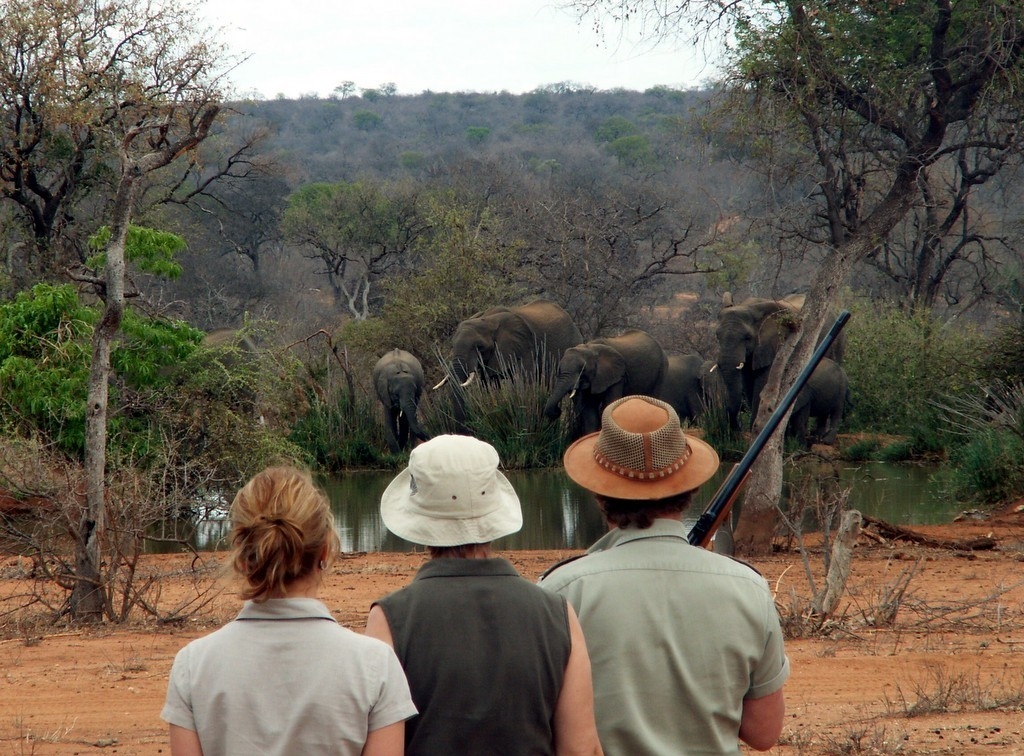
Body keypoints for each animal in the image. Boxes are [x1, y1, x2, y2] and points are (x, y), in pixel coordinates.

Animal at [712, 290, 847, 426]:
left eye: (747, 337)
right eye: (717, 336)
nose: (736, 426)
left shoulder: (774, 345)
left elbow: (761, 383)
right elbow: (748, 383)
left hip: (837, 343)